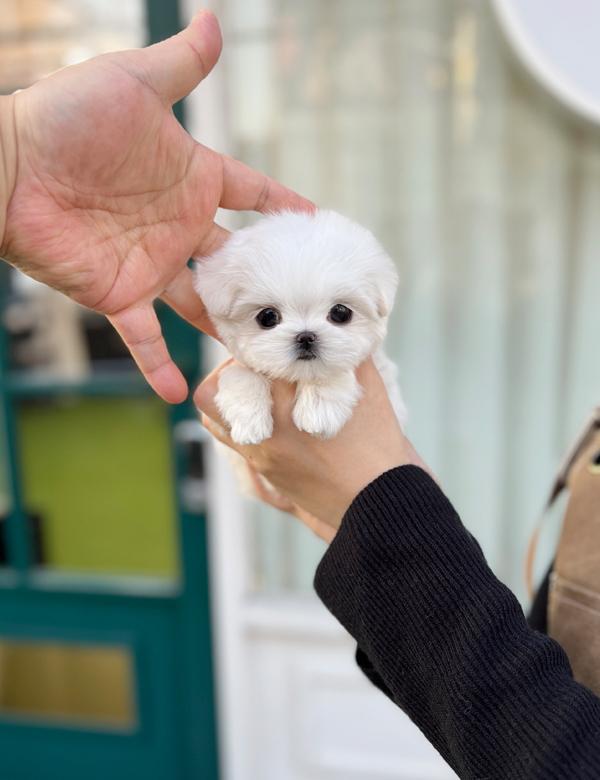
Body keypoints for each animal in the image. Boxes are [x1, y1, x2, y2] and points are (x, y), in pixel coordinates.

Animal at [196, 209, 408, 450]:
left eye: (341, 313)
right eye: (267, 317)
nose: (306, 337)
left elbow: (330, 370)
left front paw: (319, 409)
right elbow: (238, 375)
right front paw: (250, 420)